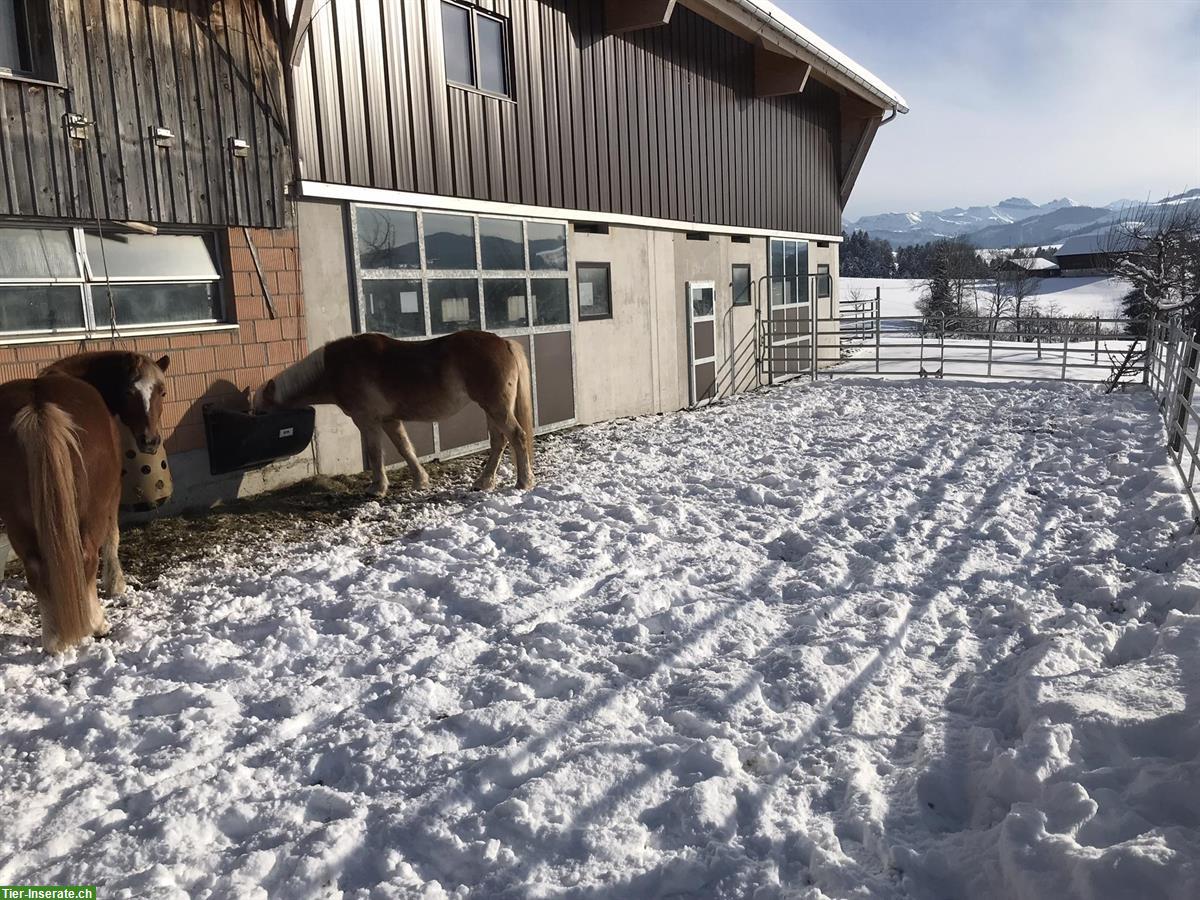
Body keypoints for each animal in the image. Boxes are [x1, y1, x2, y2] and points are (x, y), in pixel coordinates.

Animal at [0, 374, 120, 657]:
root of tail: (38, 405)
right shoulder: (112, 500)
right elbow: (113, 538)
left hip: (17, 524)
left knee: (36, 569)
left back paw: (53, 640)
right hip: (92, 515)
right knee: (87, 559)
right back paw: (96, 624)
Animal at [256, 333, 535, 496]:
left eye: (261, 411)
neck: (335, 367)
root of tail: (504, 343)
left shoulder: (366, 421)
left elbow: (375, 453)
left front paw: (377, 488)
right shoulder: (390, 420)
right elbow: (405, 449)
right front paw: (421, 481)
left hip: (496, 407)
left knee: (517, 437)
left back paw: (523, 482)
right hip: (491, 409)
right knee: (499, 442)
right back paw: (484, 482)